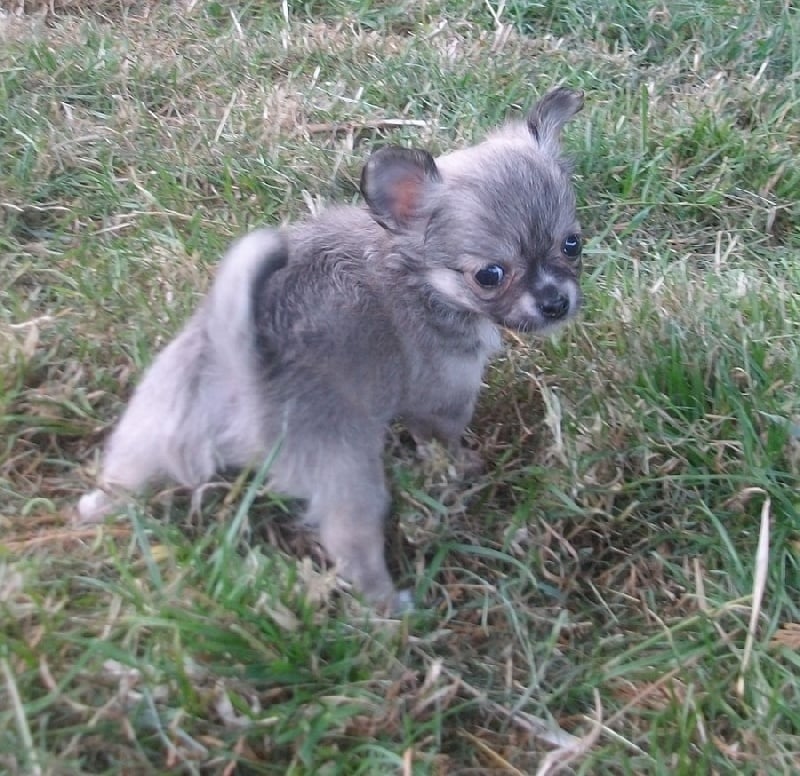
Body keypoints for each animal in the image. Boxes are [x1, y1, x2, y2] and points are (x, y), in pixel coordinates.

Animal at [78, 88, 584, 612]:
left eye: (572, 244)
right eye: (489, 275)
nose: (555, 302)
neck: (415, 272)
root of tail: (236, 366)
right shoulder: (444, 398)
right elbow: (443, 440)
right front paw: (464, 466)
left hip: (145, 434)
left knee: (118, 481)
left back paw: (96, 508)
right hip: (348, 477)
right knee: (353, 549)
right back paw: (392, 607)